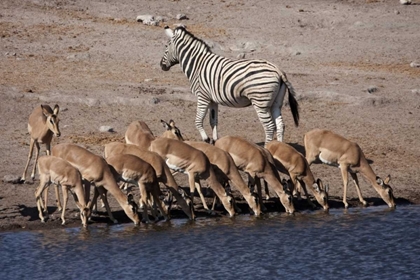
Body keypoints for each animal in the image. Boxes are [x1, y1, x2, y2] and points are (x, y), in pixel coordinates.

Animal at [159, 25, 300, 144]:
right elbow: (213, 121)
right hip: (276, 102)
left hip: (260, 102)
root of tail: (277, 70)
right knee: (280, 125)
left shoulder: (202, 96)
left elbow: (198, 121)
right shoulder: (212, 99)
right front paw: (214, 141)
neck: (197, 65)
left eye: (166, 47)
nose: (161, 66)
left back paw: (267, 149)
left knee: (270, 127)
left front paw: (206, 138)